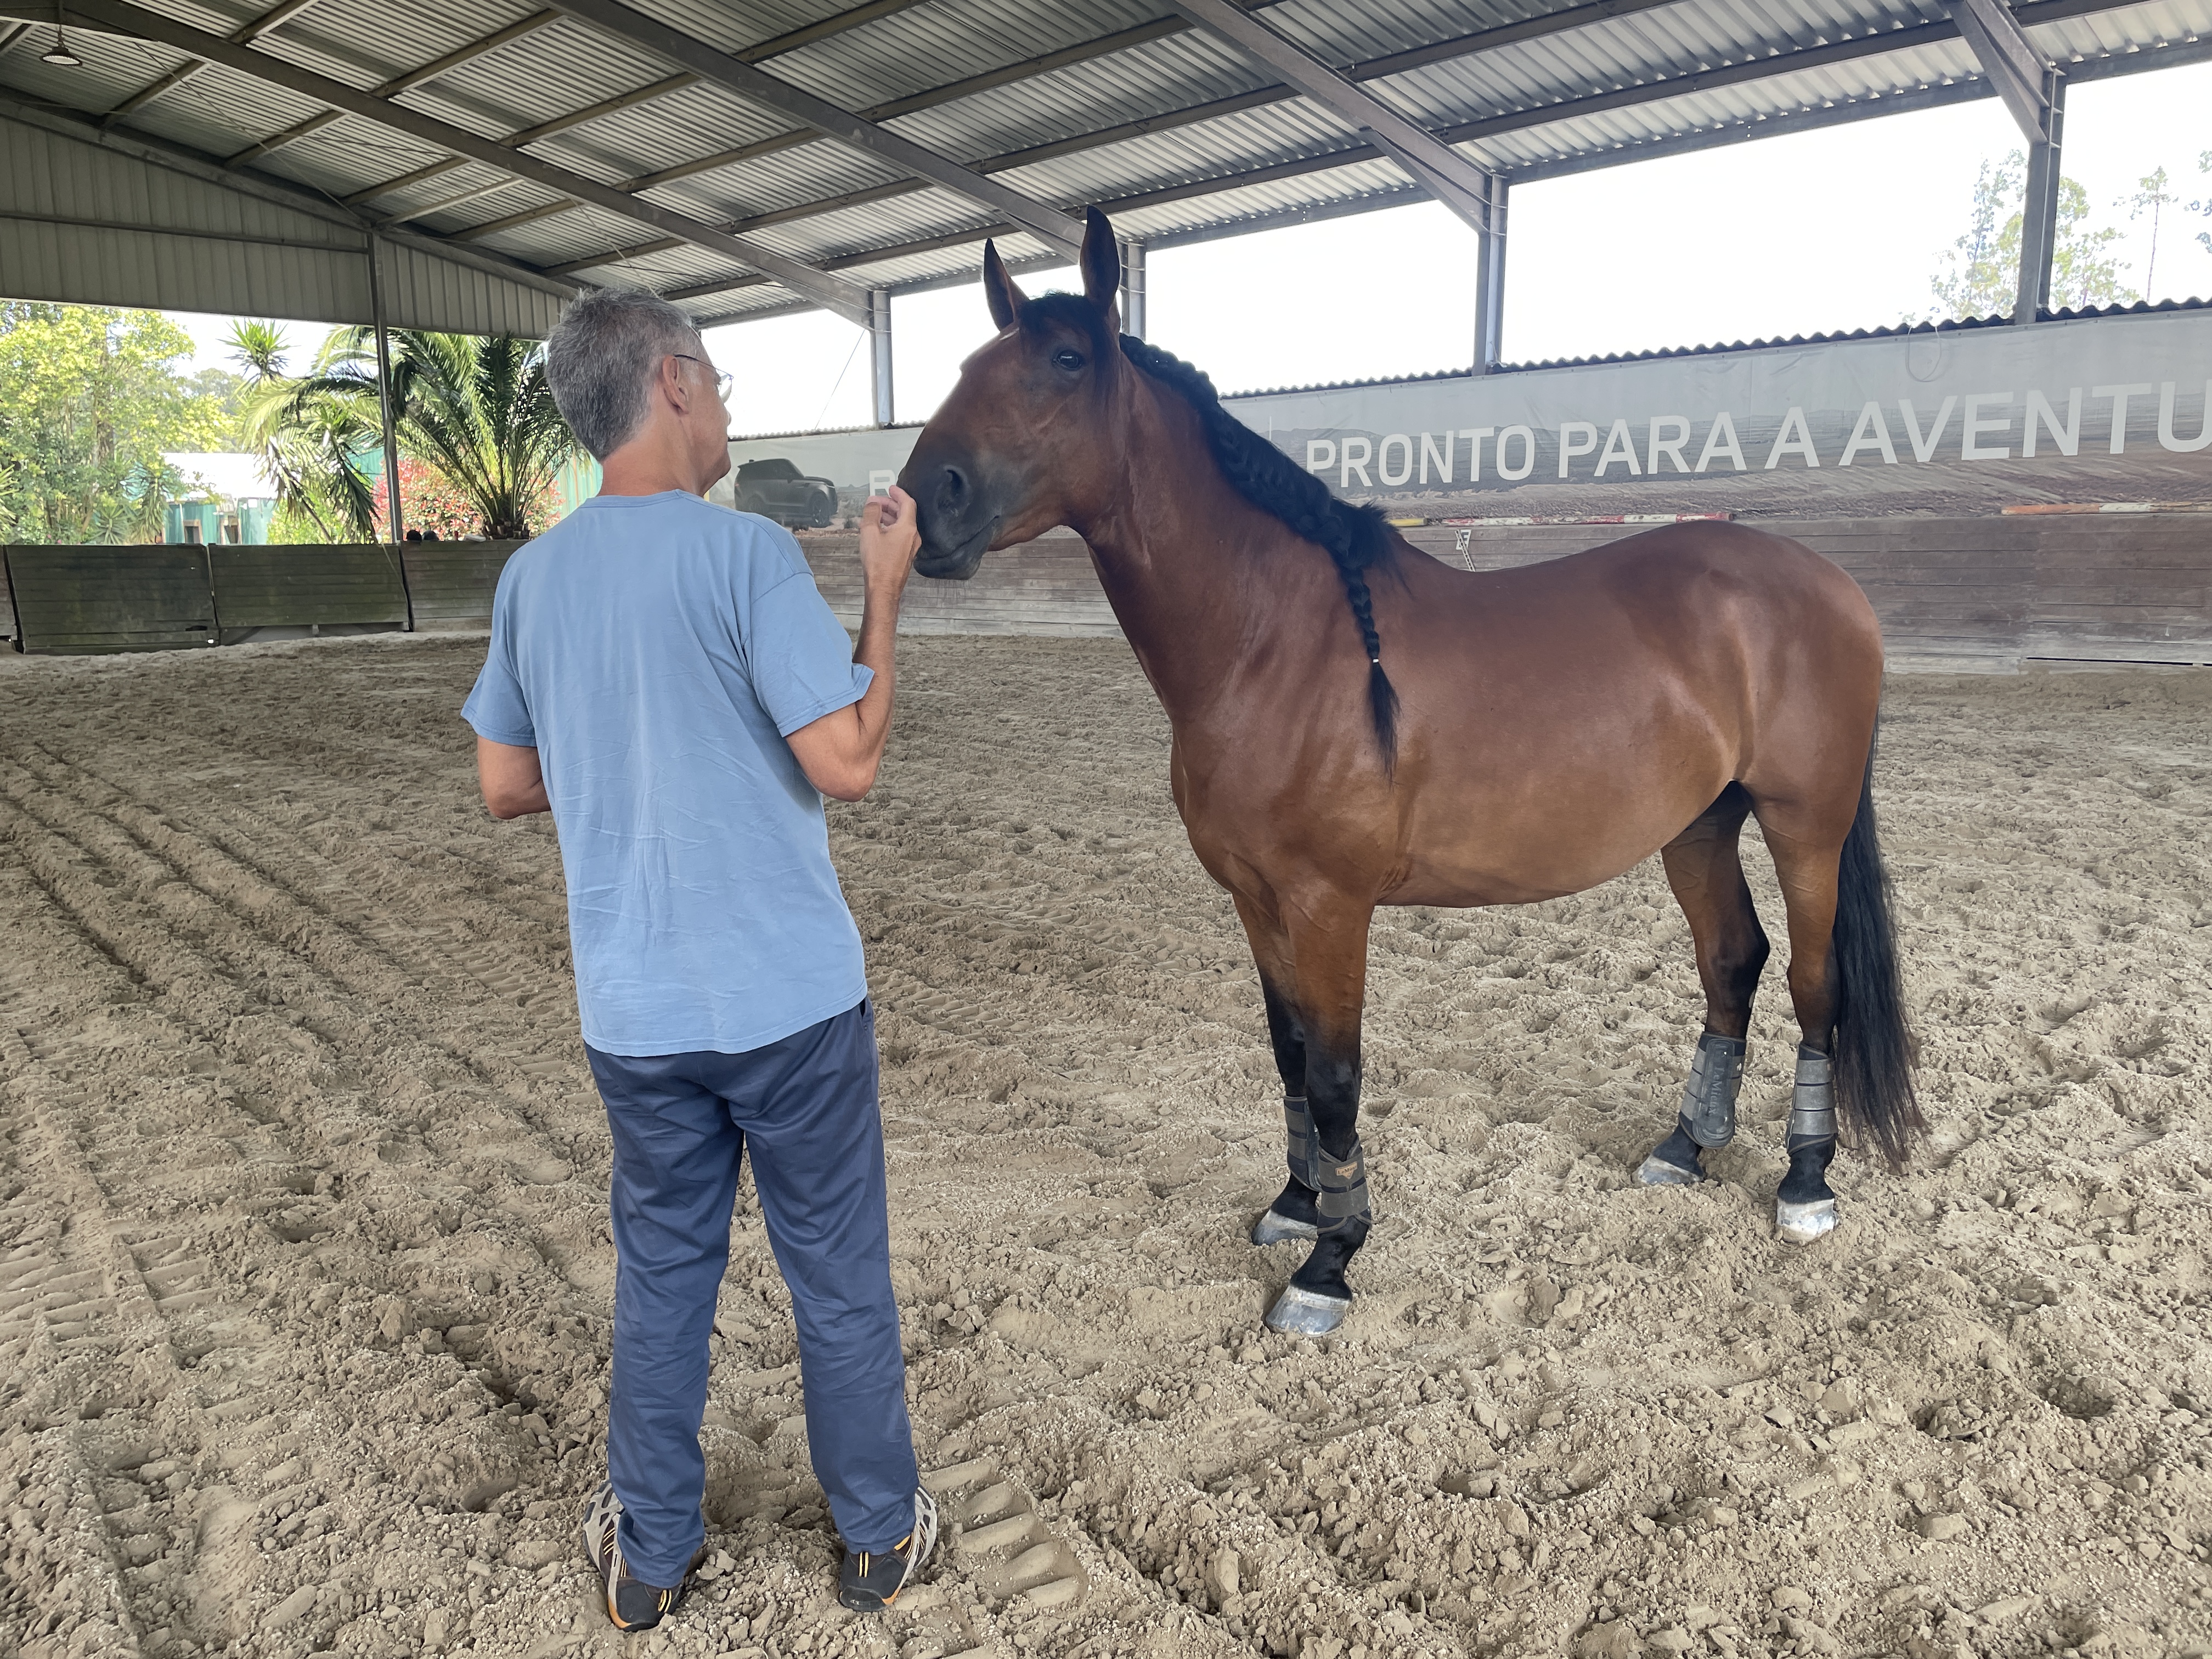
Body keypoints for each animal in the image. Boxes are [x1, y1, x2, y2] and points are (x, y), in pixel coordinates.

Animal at [898, 207, 1919, 1337]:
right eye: (969, 363)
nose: (922, 499)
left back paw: (1805, 1182)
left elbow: (1338, 1075)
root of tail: (1830, 584)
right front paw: (1295, 1203)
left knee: (1812, 982)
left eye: (1066, 363)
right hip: (1698, 824)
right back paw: (1686, 1146)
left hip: (1804, 824)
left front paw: (1330, 1262)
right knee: (1732, 960)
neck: (1279, 641)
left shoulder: (1329, 905)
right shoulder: (1256, 900)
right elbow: (1289, 1053)